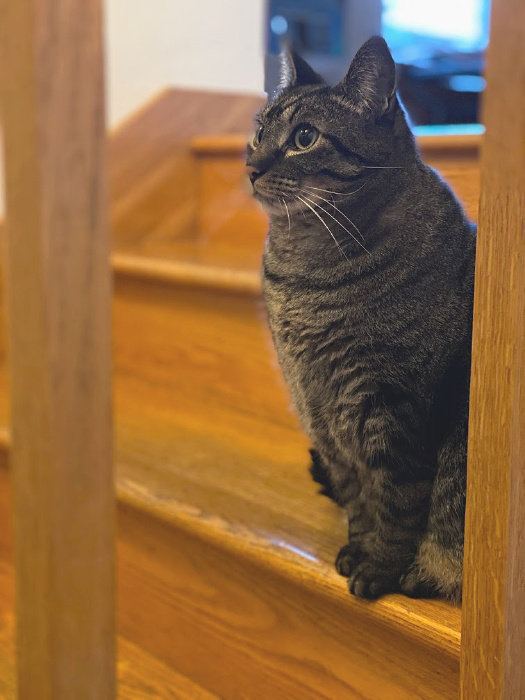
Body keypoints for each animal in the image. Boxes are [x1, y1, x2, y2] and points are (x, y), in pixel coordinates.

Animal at [247, 35, 474, 600]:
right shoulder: (319, 411)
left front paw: (381, 569)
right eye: (259, 130)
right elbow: (357, 501)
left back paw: (420, 576)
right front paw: (357, 549)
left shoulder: (397, 410)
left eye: (304, 137)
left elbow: (397, 504)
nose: (252, 165)